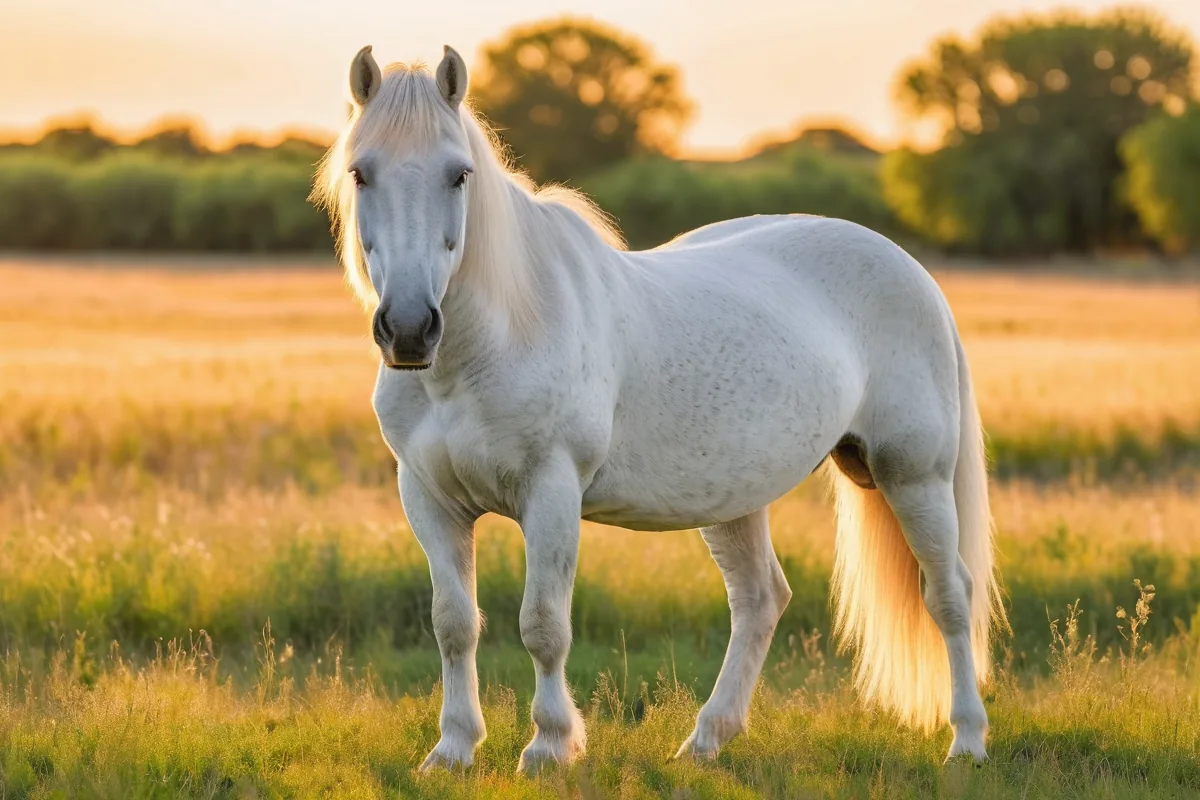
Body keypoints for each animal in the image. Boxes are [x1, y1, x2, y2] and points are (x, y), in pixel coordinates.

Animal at [313, 44, 1005, 775]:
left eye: (459, 174)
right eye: (360, 173)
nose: (409, 330)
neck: (489, 342)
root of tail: (913, 271)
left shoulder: (550, 492)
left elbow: (543, 625)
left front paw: (549, 745)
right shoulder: (429, 499)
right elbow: (453, 624)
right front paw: (451, 749)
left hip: (914, 475)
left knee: (950, 595)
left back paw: (966, 741)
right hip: (737, 497)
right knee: (760, 599)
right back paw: (706, 739)